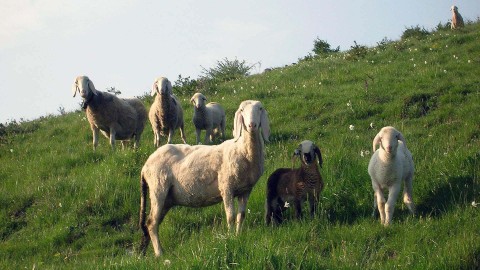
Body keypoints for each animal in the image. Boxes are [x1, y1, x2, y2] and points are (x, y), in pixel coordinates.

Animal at [139, 100, 270, 256]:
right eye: (242, 110)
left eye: (260, 109)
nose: (252, 125)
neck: (242, 150)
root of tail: (145, 165)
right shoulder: (227, 187)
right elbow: (230, 216)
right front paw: (231, 237)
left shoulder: (245, 190)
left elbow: (241, 215)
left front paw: (238, 235)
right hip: (158, 188)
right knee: (152, 223)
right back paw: (159, 254)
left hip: (167, 199)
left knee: (151, 223)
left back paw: (146, 253)